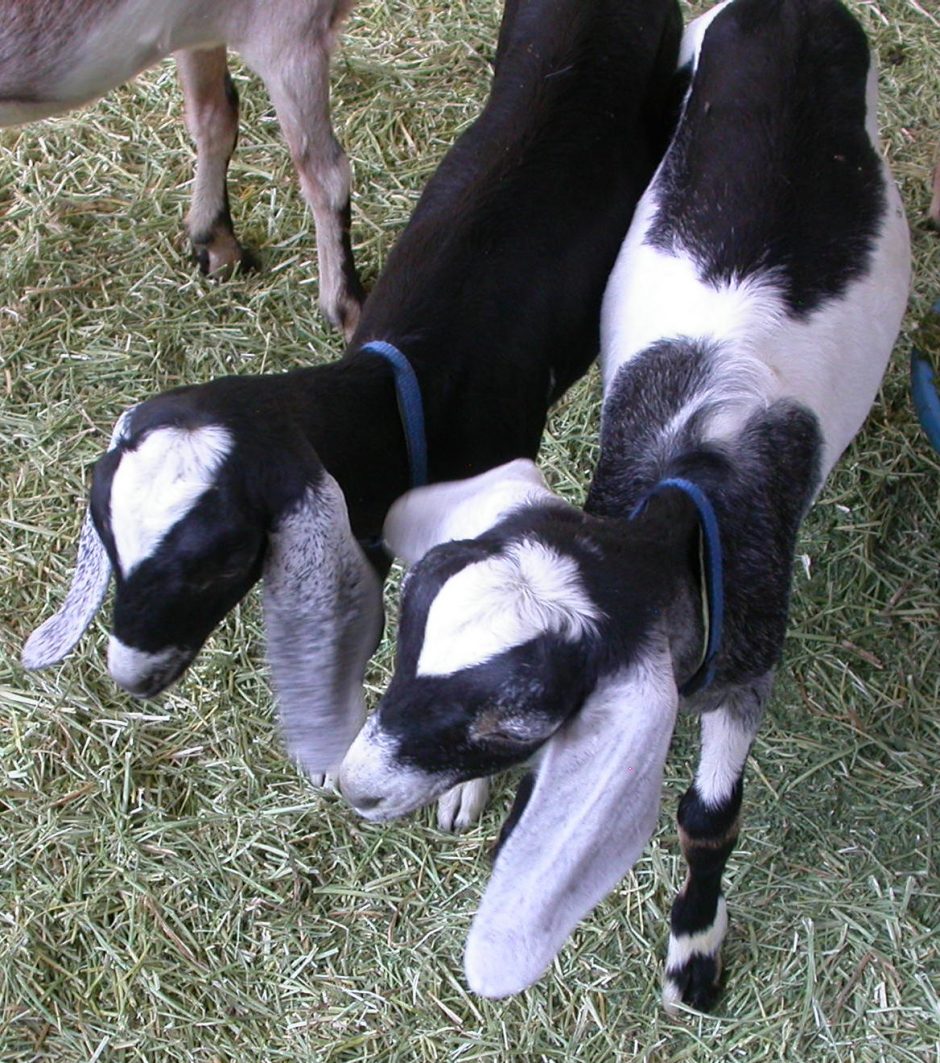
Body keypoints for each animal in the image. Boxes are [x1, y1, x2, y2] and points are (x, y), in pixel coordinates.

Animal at [0, 0, 363, 335]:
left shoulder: (199, 33)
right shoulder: (289, 33)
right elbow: (326, 175)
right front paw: (348, 310)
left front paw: (217, 246)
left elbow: (215, 116)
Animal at [339, 0, 911, 1005]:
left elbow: (711, 813)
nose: (354, 787)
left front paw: (695, 953)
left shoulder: (749, 656)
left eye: (513, 715)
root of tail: (785, 9)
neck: (690, 477)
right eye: (405, 639)